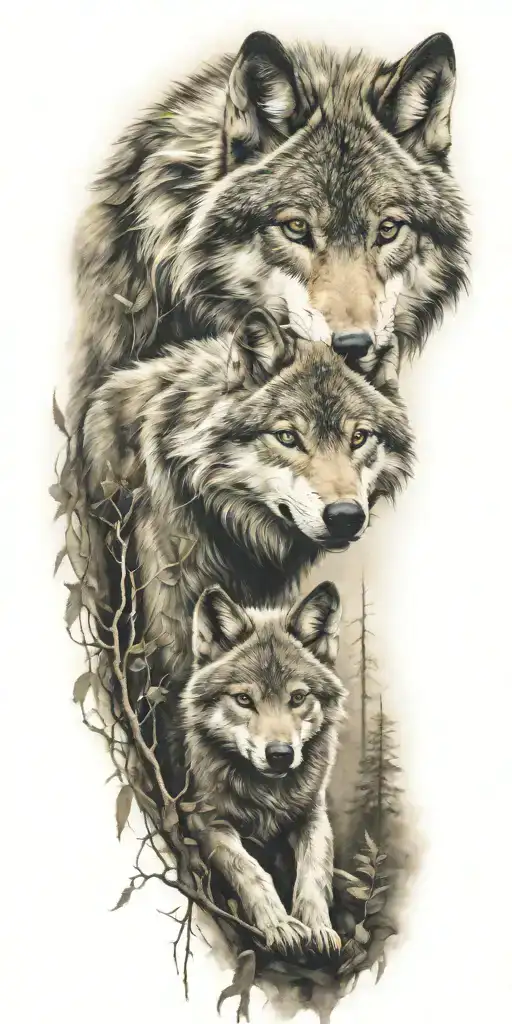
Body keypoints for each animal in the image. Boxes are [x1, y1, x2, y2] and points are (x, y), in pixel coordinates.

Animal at [181, 579, 346, 955]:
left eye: (297, 698)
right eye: (244, 699)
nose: (280, 754)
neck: (269, 794)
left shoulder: (314, 815)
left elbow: (314, 871)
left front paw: (318, 928)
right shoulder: (205, 819)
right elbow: (249, 867)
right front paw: (280, 925)